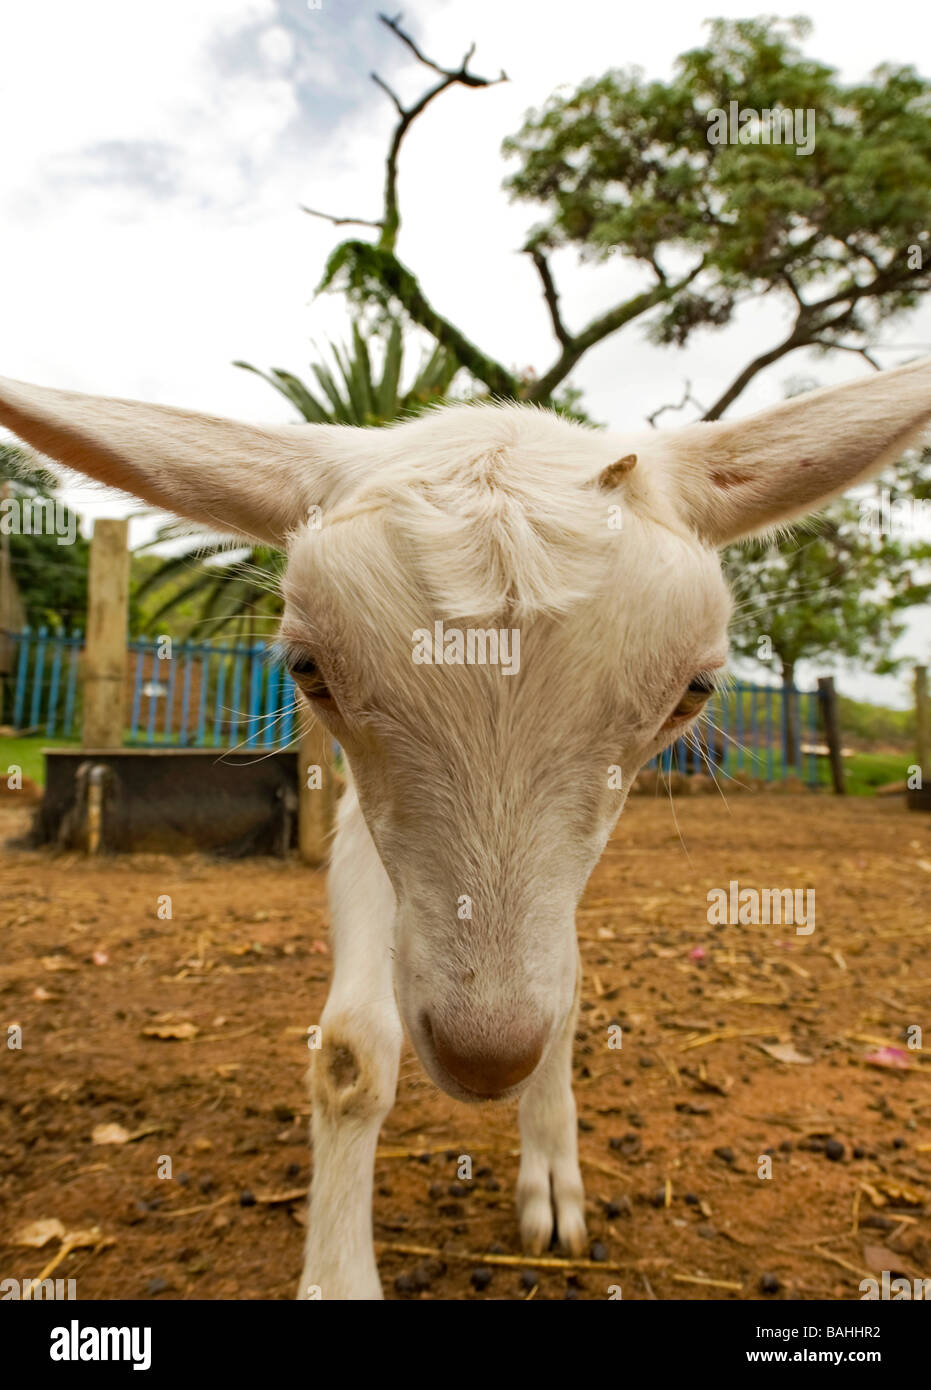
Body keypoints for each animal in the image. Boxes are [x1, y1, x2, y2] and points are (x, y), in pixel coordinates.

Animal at [1, 358, 928, 1298]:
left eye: (693, 691)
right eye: (307, 668)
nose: (486, 1058)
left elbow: (564, 982)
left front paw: (550, 1169)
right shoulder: (360, 816)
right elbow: (350, 1051)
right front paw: (337, 1274)